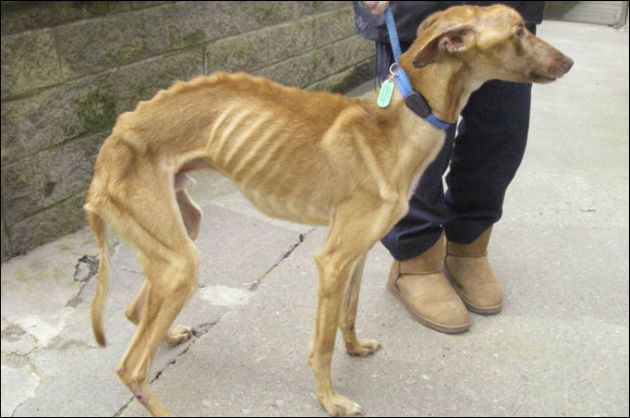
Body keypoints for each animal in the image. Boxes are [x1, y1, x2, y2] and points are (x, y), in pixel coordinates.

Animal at [84, 4, 572, 416]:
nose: (568, 62)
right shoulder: (333, 261)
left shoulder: (358, 253)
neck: (401, 122)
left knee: (135, 314)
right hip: (179, 261)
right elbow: (321, 344)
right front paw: (330, 399)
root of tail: (114, 138)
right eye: (518, 31)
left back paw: (168, 333)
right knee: (131, 367)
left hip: (180, 233)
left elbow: (348, 316)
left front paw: (355, 348)